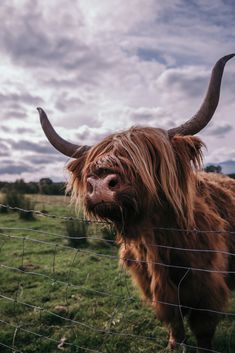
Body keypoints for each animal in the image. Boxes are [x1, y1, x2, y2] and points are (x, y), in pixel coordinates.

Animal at [38, 53, 235, 352]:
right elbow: (174, 323)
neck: (158, 242)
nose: (100, 184)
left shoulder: (206, 287)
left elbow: (203, 330)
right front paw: (173, 344)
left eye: (147, 156)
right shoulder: (154, 286)